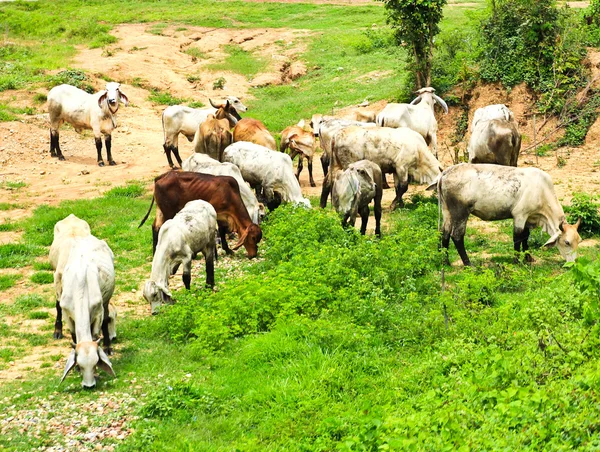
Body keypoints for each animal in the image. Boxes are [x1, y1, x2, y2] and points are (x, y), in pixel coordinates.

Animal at [432, 165, 580, 264]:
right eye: (567, 242)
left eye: (579, 241)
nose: (573, 262)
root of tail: (444, 174)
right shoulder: (520, 215)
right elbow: (517, 238)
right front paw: (516, 260)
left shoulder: (528, 218)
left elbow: (526, 237)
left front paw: (528, 257)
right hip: (460, 213)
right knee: (457, 236)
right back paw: (468, 263)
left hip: (447, 211)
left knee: (444, 233)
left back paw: (445, 261)